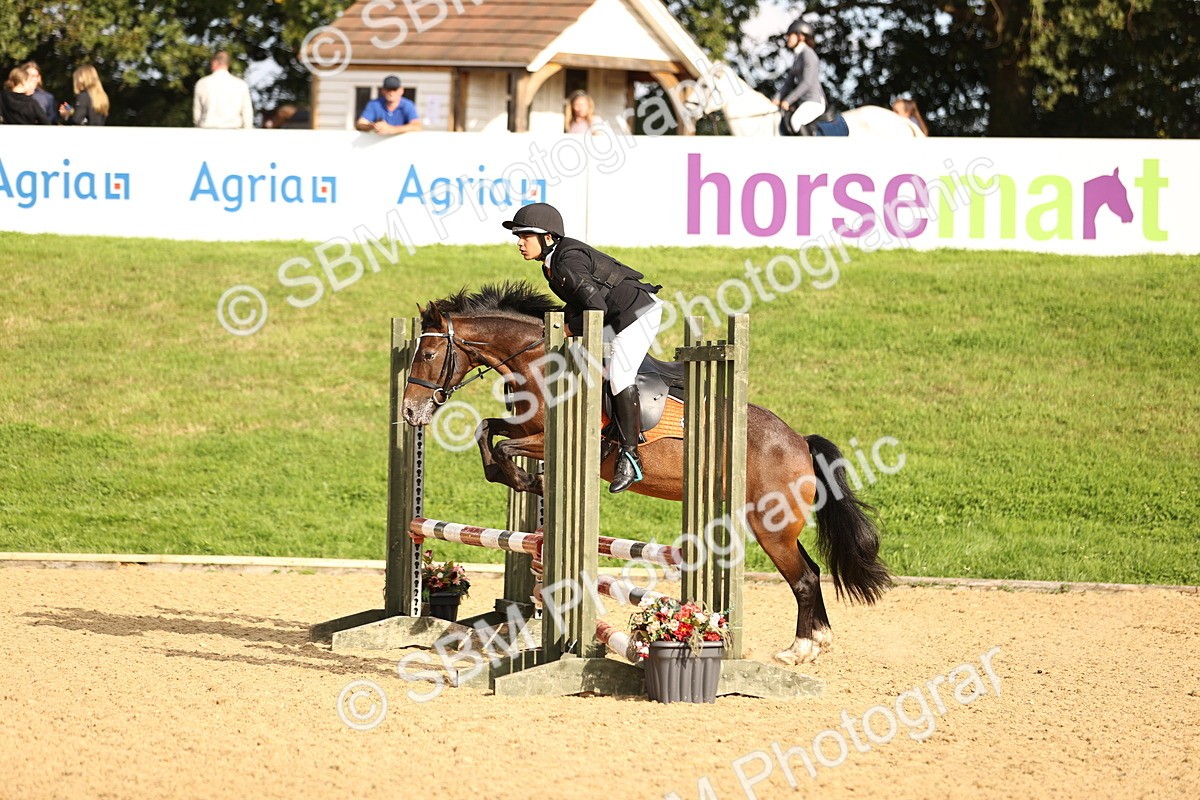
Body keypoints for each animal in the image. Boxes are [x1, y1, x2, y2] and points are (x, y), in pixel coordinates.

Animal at [401, 283, 892, 665]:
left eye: (429, 353)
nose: (409, 412)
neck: (540, 362)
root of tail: (798, 442)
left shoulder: (552, 437)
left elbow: (503, 445)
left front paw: (529, 481)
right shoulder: (525, 426)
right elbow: (488, 431)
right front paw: (526, 480)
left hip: (770, 525)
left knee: (804, 578)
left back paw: (798, 650)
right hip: (771, 522)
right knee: (810, 570)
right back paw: (818, 642)